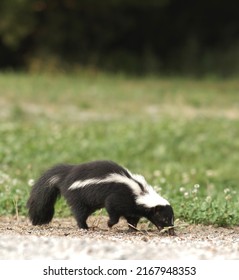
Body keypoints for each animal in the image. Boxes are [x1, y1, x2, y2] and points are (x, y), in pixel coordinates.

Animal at [27, 160, 175, 234]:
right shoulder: (118, 197)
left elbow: (132, 218)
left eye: (171, 219)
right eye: (164, 219)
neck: (140, 193)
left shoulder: (133, 206)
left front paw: (132, 229)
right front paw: (110, 224)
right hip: (78, 196)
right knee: (80, 213)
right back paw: (84, 227)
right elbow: (112, 210)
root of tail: (66, 175)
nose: (171, 232)